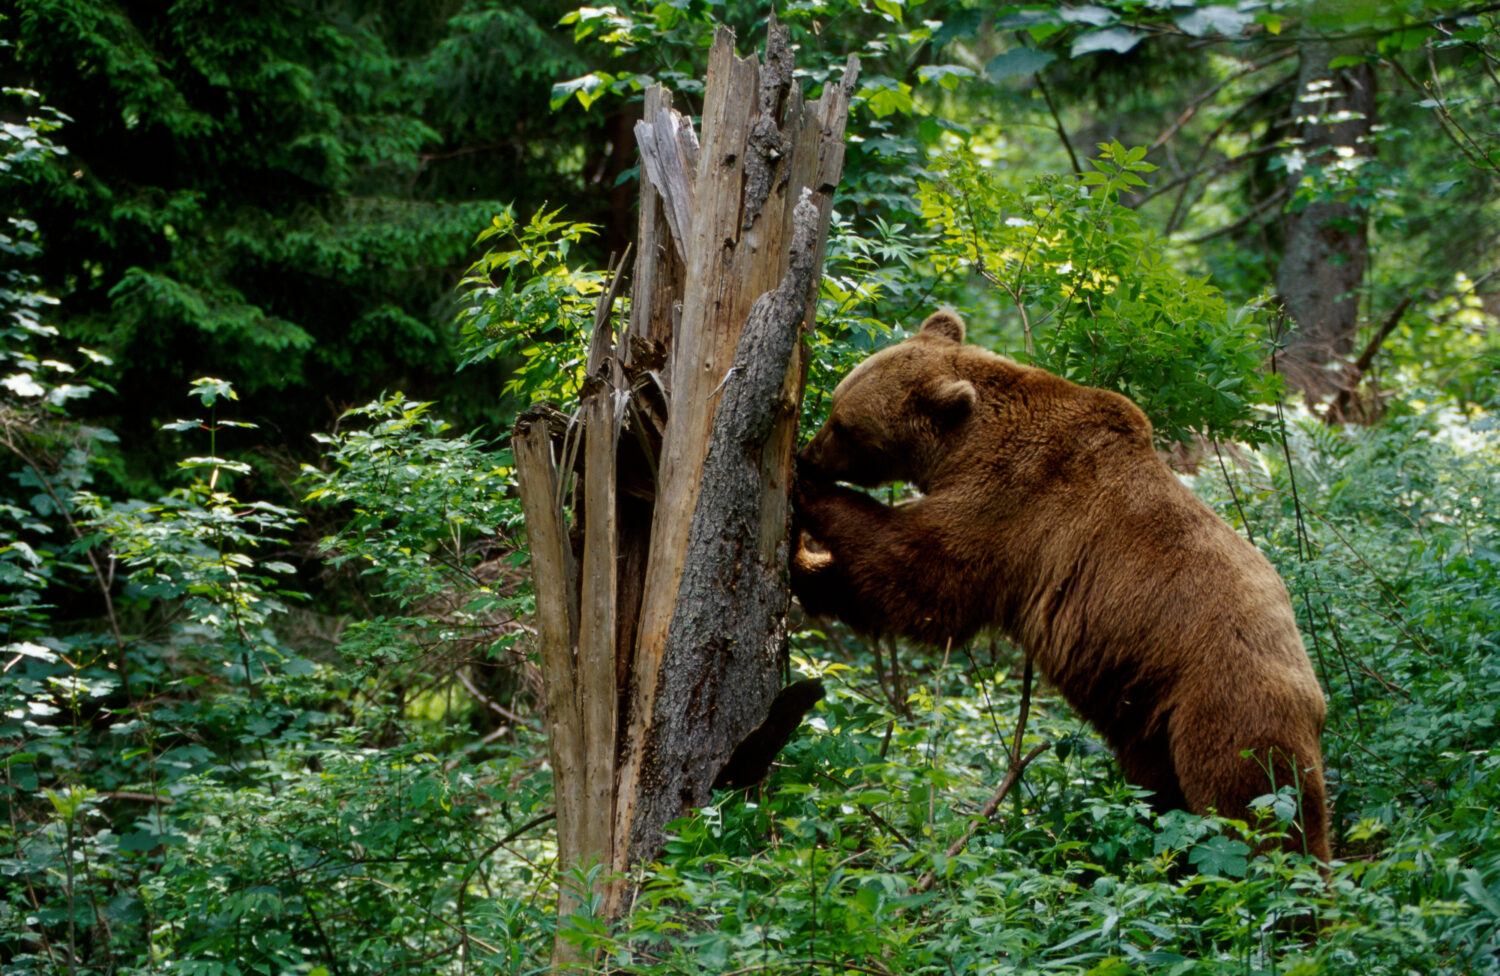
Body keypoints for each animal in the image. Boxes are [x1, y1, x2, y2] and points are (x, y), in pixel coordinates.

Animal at [792, 309, 1330, 862]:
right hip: (1152, 718)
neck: (965, 444)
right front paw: (805, 565)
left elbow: (925, 576)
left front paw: (807, 501)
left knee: (1257, 805)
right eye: (836, 406)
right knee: (1164, 791)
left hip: (1224, 705)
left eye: (845, 425)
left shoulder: (1012, 502)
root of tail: (1317, 695)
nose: (808, 455)